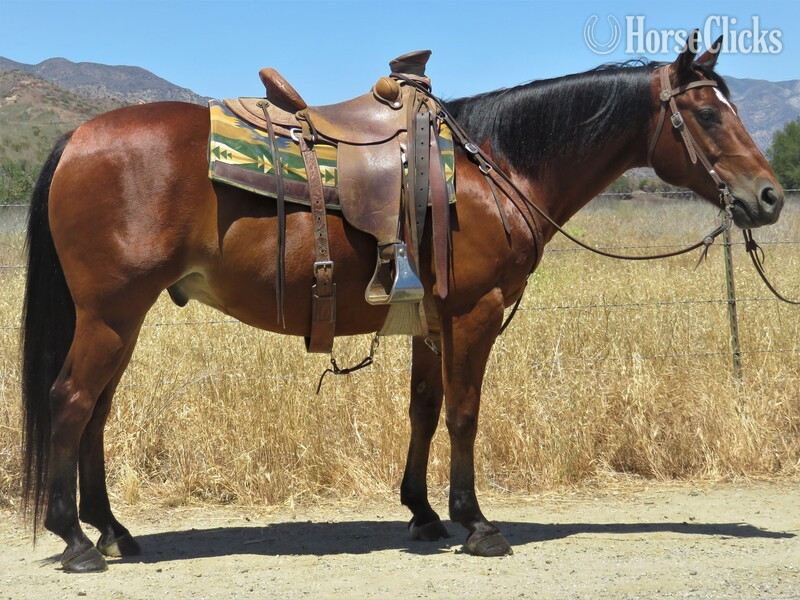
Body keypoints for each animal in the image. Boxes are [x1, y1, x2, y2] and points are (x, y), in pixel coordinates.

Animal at [20, 33, 783, 572]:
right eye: (708, 113)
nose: (769, 197)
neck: (494, 166)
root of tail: (76, 138)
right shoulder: (475, 314)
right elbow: (466, 414)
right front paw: (476, 522)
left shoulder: (430, 322)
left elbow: (424, 410)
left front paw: (422, 513)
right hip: (111, 314)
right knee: (70, 401)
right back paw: (76, 539)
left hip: (122, 318)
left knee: (96, 412)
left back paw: (112, 531)